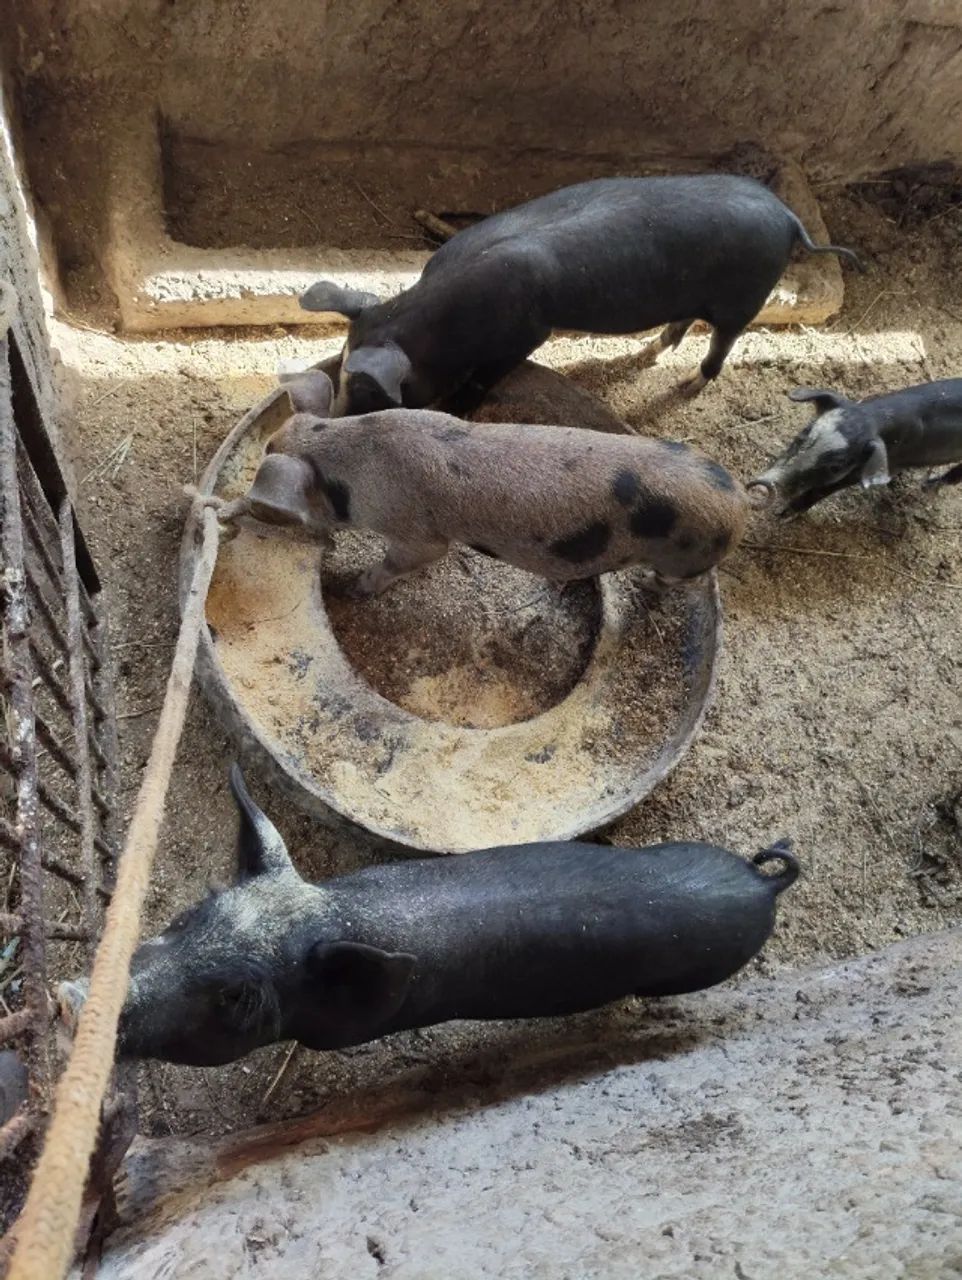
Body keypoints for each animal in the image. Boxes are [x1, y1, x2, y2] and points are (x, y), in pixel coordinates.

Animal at [211, 369, 747, 596]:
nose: (247, 508)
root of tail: (737, 499)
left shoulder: (418, 534)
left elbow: (408, 561)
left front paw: (357, 588)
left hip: (687, 554)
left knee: (683, 578)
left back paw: (654, 586)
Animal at [299, 175, 862, 415]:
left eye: (371, 390)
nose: (332, 419)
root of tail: (788, 216)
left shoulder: (529, 332)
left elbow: (487, 378)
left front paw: (458, 407)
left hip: (744, 298)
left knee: (723, 342)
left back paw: (687, 385)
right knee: (684, 323)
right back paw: (652, 350)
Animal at [748, 379, 962, 515]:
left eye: (835, 467)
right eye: (804, 433)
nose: (764, 486)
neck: (873, 418)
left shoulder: (861, 472)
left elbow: (821, 490)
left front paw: (782, 516)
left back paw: (928, 486)